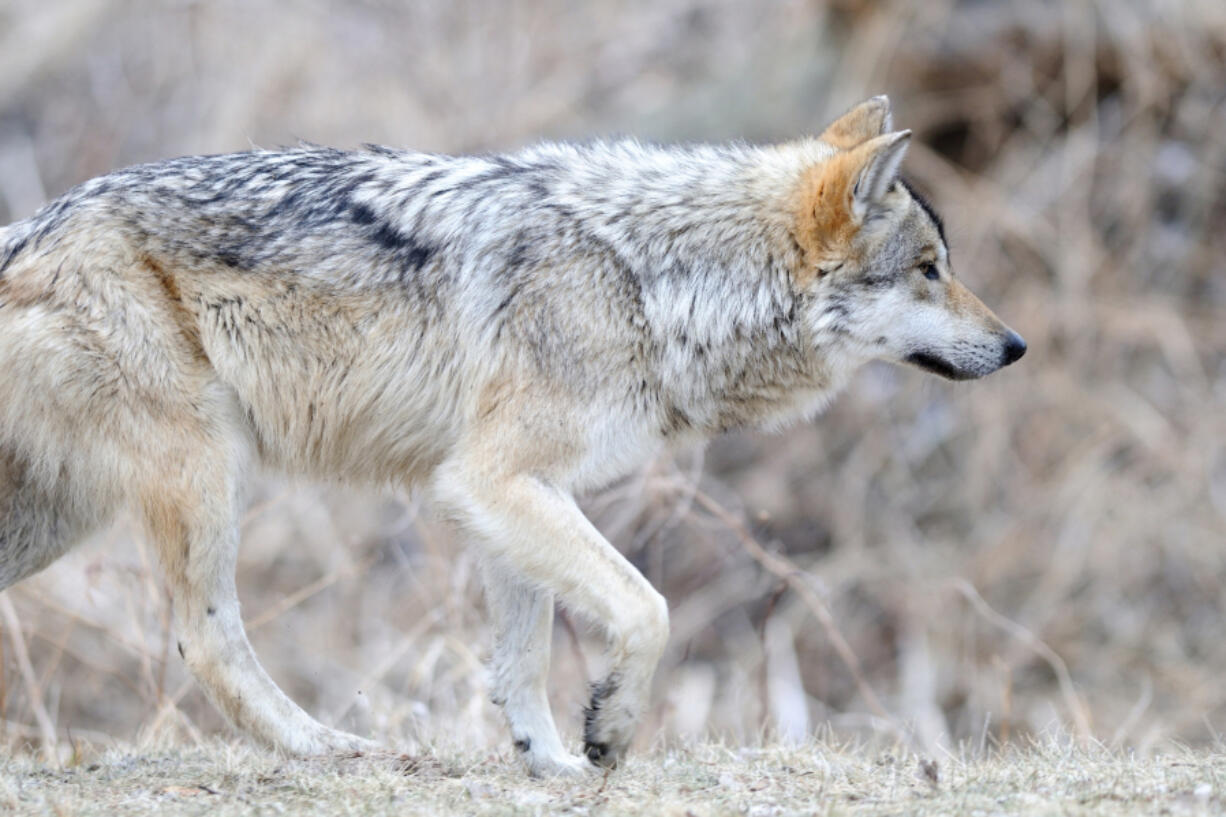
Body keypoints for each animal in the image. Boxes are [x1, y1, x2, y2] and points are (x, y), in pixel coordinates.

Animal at [0, 93, 1024, 770]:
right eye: (929, 269)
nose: (1016, 344)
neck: (658, 281)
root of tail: (27, 230)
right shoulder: (495, 479)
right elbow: (647, 608)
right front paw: (610, 729)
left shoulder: (512, 492)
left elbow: (521, 659)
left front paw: (552, 762)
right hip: (206, 475)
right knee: (210, 640)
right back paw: (327, 745)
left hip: (61, 519)